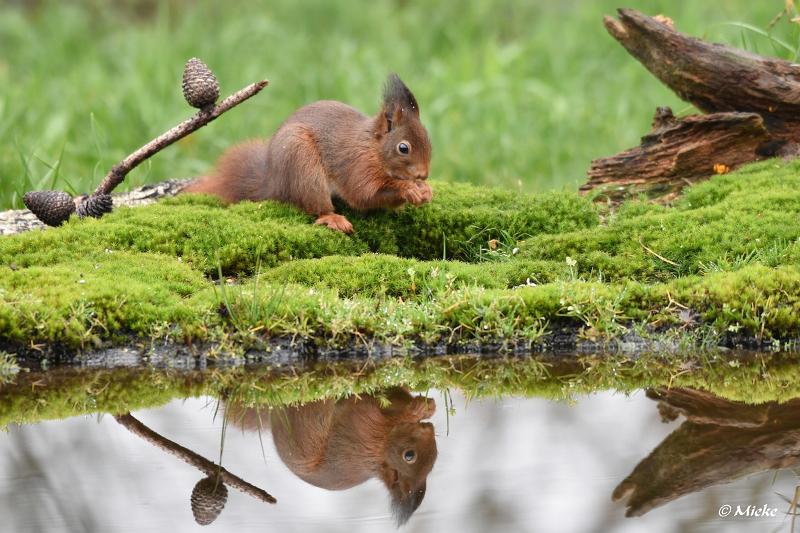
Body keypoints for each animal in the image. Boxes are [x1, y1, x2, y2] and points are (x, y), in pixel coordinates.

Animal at [183, 74, 432, 232]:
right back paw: (332, 218)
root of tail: (273, 183)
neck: (373, 147)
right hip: (302, 165)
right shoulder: (356, 164)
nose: (423, 175)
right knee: (314, 205)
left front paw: (425, 191)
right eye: (403, 148)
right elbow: (363, 194)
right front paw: (408, 188)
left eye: (429, 139)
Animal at [228, 386, 438, 524]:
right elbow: (369, 404)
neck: (378, 450)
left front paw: (427, 408)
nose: (429, 429)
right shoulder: (360, 430)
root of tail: (274, 418)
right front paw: (417, 410)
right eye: (409, 456)